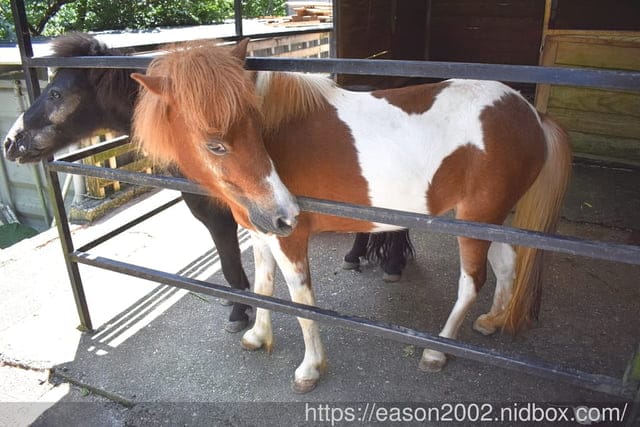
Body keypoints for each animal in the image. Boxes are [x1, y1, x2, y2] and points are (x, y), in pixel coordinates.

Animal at [143, 39, 573, 393]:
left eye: (254, 124)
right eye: (214, 144)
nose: (285, 210)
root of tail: (530, 113)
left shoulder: (289, 238)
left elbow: (301, 303)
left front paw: (310, 369)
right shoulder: (261, 233)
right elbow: (263, 288)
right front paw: (257, 337)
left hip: (474, 220)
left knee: (471, 283)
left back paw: (438, 350)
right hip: (489, 219)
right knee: (507, 264)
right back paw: (492, 321)